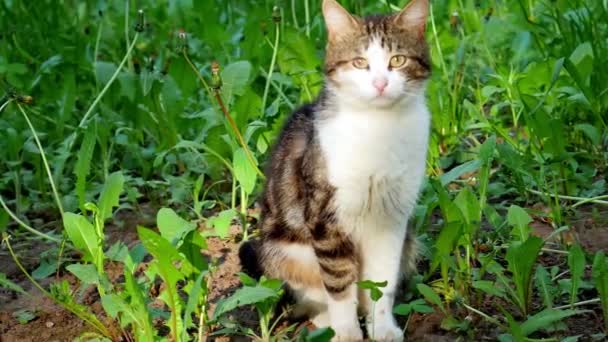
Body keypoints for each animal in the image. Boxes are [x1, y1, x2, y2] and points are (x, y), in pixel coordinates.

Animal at [240, 0, 430, 340]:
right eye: (359, 62)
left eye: (397, 60)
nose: (380, 84)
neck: (379, 128)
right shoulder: (325, 217)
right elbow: (339, 283)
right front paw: (348, 333)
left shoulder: (393, 218)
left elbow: (382, 282)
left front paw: (383, 328)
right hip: (285, 252)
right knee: (311, 293)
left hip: (410, 240)